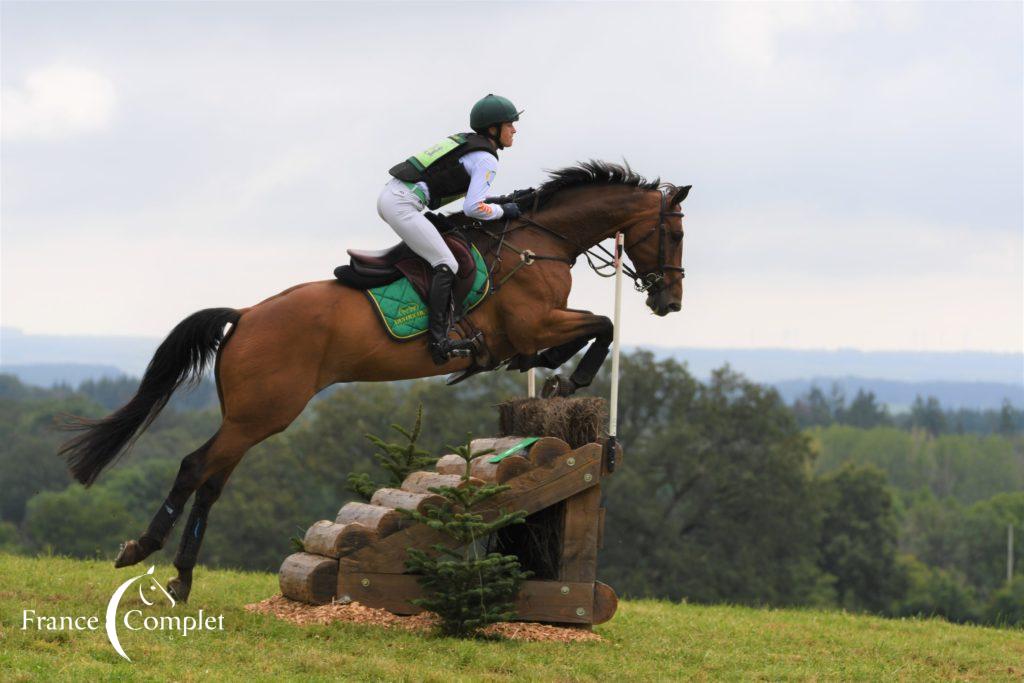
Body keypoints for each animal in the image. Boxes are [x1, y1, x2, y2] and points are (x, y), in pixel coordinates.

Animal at [56, 158, 688, 598]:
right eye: (677, 235)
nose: (670, 302)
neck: (539, 243)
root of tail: (247, 315)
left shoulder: (533, 328)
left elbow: (587, 331)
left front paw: (549, 378)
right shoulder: (531, 323)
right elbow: (601, 326)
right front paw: (566, 380)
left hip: (249, 416)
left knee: (211, 480)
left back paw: (182, 577)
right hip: (265, 412)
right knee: (195, 467)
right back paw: (143, 551)